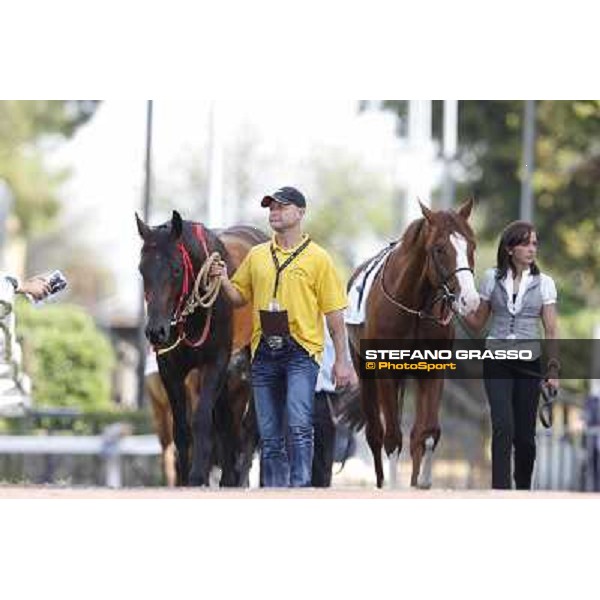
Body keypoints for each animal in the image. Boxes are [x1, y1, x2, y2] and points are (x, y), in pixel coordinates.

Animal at [137, 211, 268, 488]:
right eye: (142, 269)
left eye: (176, 269)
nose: (156, 331)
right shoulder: (170, 370)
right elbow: (182, 428)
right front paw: (186, 478)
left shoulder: (214, 363)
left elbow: (201, 420)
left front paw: (197, 476)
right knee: (226, 421)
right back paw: (228, 477)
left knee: (249, 425)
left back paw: (240, 478)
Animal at [346, 199, 478, 490]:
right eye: (439, 249)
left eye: (471, 246)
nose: (471, 300)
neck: (415, 306)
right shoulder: (385, 371)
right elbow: (392, 436)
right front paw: (393, 485)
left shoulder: (433, 369)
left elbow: (427, 432)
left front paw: (423, 481)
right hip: (364, 370)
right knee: (375, 432)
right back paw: (382, 481)